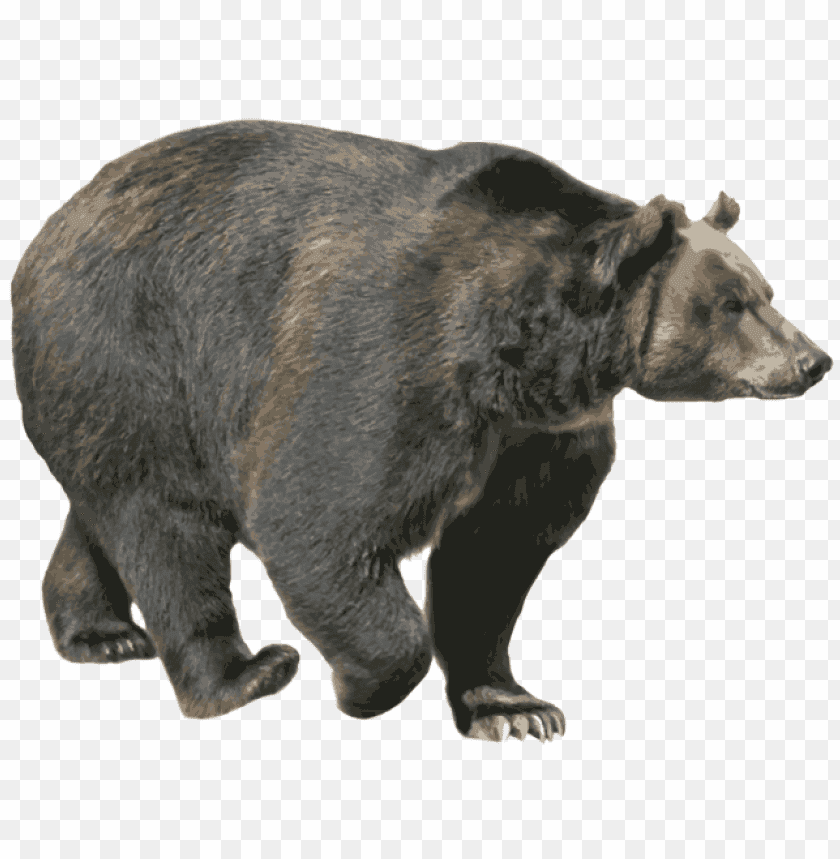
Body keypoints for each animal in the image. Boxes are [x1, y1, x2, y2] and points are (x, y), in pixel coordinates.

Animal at [12, 120, 832, 742]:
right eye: (731, 304)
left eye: (766, 291)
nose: (813, 360)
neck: (525, 356)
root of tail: (52, 224)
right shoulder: (393, 360)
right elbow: (317, 516)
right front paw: (361, 685)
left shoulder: (537, 436)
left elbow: (494, 556)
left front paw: (513, 707)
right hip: (131, 347)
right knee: (165, 523)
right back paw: (244, 673)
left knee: (110, 508)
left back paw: (100, 633)